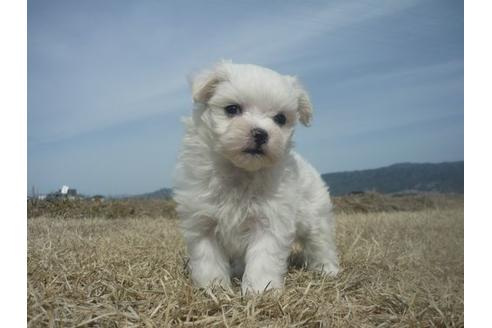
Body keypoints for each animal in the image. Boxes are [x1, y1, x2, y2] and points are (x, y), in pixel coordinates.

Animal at [175, 62, 340, 294]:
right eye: (232, 109)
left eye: (280, 118)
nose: (261, 133)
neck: (240, 171)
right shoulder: (202, 221)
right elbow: (208, 259)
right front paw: (213, 288)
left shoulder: (269, 221)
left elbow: (263, 258)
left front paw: (260, 291)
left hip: (316, 218)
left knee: (320, 243)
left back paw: (327, 270)